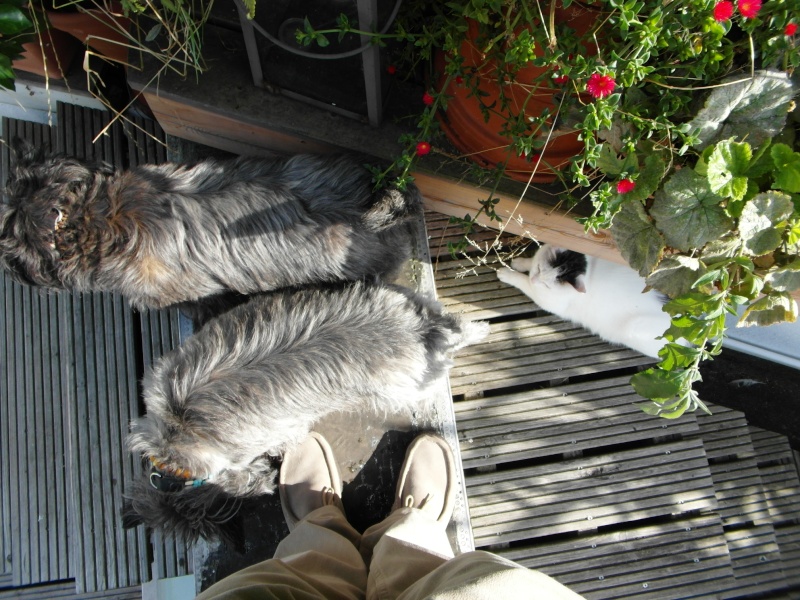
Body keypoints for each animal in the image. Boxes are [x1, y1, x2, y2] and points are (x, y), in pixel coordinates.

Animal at [496, 244, 672, 356]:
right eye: (539, 269)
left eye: (547, 285)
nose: (534, 280)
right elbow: (531, 260)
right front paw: (520, 263)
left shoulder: (543, 298)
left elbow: (522, 281)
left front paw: (508, 274)